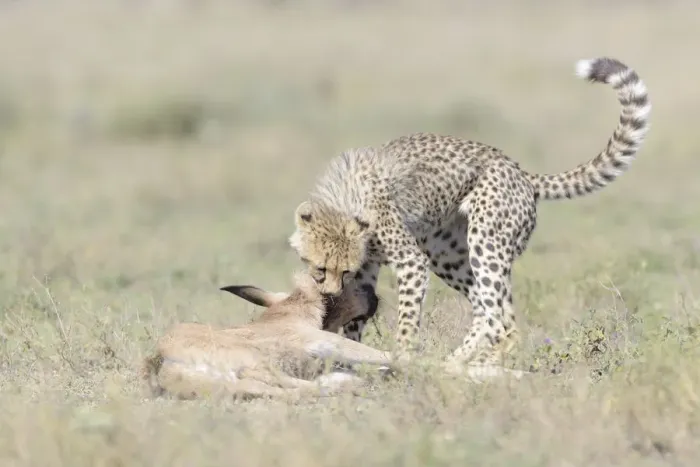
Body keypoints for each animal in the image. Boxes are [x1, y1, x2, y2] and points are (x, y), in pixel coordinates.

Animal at [141, 271, 396, 401]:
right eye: (349, 286)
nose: (374, 296)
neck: (289, 311)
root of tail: (159, 362)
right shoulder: (322, 341)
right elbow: (383, 355)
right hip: (251, 359)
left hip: (237, 381)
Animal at [287, 56, 651, 380]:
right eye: (320, 269)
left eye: (339, 271)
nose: (330, 293)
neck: (343, 201)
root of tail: (522, 172)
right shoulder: (368, 268)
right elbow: (355, 318)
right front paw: (346, 355)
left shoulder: (410, 261)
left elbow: (405, 322)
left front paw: (400, 358)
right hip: (447, 253)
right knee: (496, 316)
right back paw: (472, 363)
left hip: (484, 242)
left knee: (497, 317)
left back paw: (465, 365)